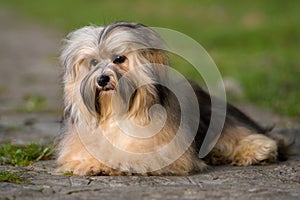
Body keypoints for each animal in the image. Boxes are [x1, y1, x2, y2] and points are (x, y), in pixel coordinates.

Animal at [55, 21, 290, 176]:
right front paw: (91, 163)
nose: (102, 79)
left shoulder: (163, 152)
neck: (118, 112)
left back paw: (257, 150)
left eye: (120, 59)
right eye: (93, 62)